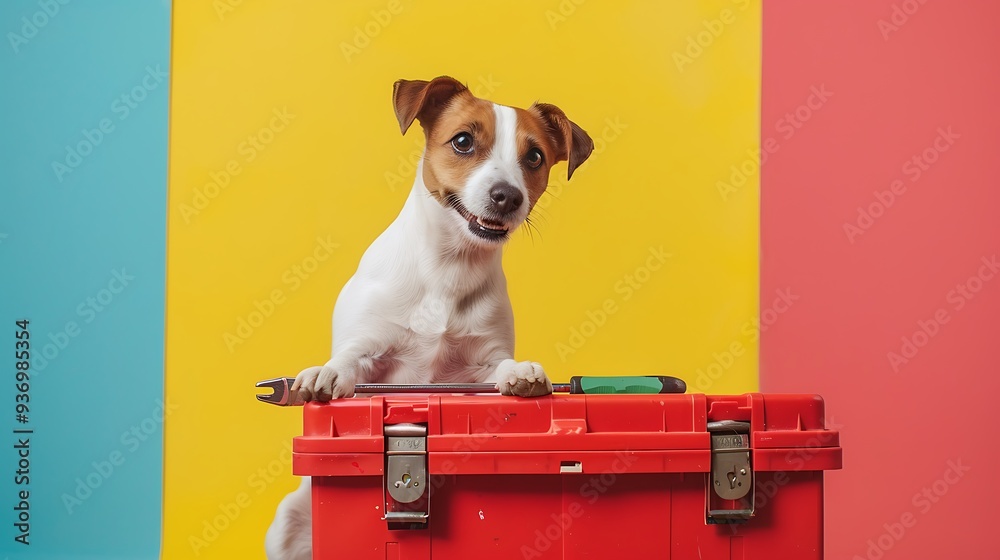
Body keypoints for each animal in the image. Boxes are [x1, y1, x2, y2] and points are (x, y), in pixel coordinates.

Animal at [264, 75, 592, 560]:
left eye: (534, 156)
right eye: (462, 141)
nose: (507, 196)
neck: (449, 268)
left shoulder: (476, 369)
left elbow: (499, 369)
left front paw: (522, 374)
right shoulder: (370, 352)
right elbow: (348, 361)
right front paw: (325, 374)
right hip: (287, 524)